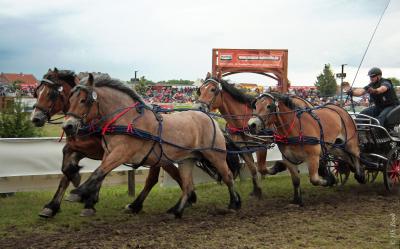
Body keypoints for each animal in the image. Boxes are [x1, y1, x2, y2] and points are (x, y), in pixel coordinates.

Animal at [62, 74, 241, 218]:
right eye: (69, 100)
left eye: (84, 100)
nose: (67, 126)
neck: (128, 120)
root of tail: (210, 118)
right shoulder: (108, 153)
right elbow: (99, 172)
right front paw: (85, 195)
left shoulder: (121, 153)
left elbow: (98, 172)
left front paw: (78, 193)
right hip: (187, 160)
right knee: (188, 185)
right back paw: (176, 211)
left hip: (216, 156)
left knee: (228, 176)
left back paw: (234, 204)